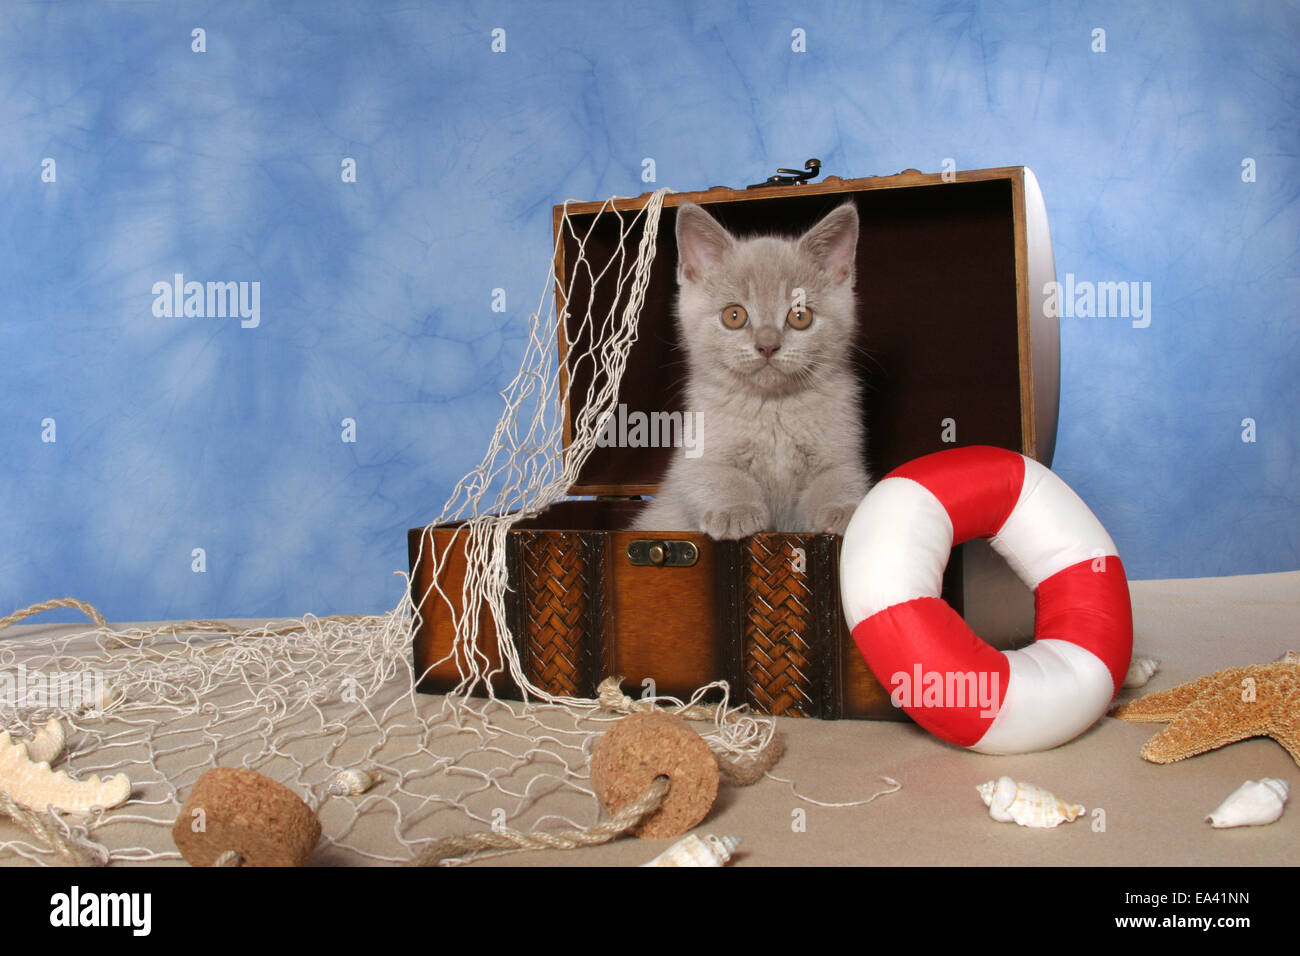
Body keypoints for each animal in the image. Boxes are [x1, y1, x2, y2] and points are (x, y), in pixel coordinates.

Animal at [631, 201, 868, 538]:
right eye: (734, 315)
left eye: (800, 316)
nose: (767, 345)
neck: (773, 409)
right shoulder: (693, 461)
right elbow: (718, 476)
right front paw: (735, 511)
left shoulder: (842, 454)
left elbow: (839, 479)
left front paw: (847, 510)